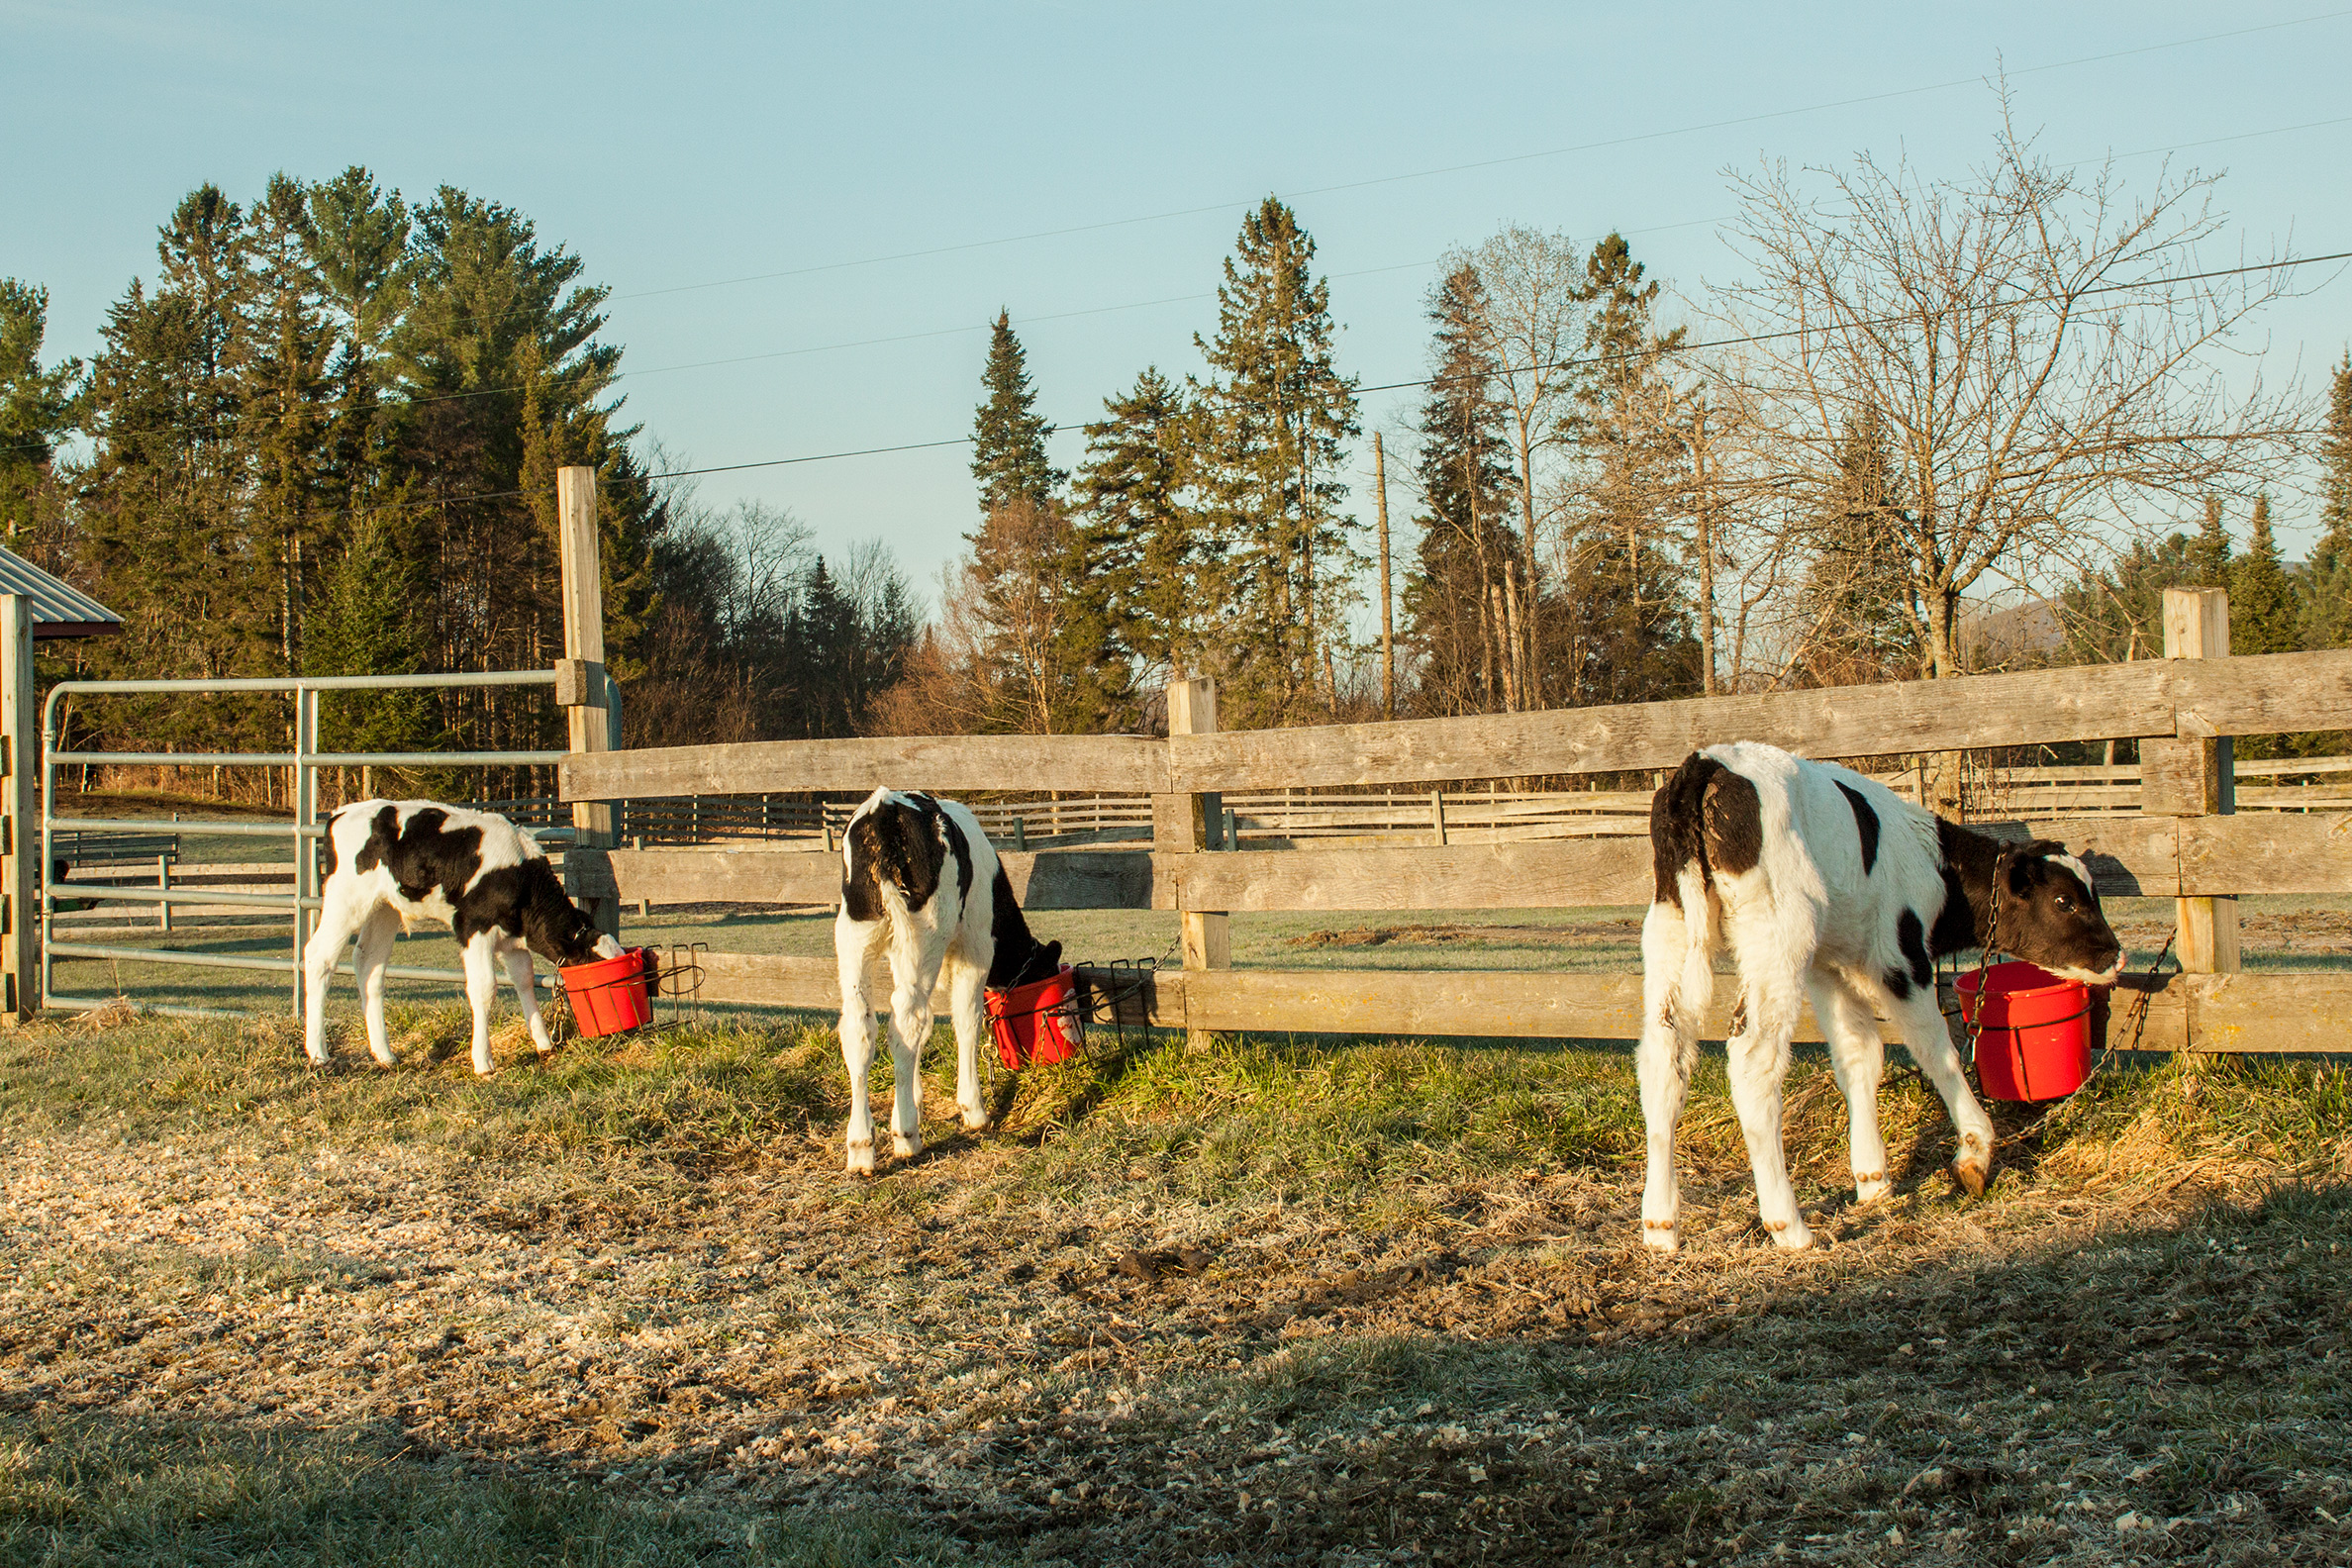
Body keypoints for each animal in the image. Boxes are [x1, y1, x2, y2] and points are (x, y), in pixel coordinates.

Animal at [300, 801, 623, 1076]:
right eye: (595, 963)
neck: (520, 877)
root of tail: (341, 814)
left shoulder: (511, 938)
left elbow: (523, 979)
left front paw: (544, 1044)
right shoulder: (475, 927)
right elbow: (485, 989)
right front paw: (483, 1061)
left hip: (384, 907)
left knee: (368, 963)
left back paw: (385, 1055)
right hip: (345, 900)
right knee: (319, 957)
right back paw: (319, 1054)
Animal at [834, 788, 1062, 1173]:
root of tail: (885, 808)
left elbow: (926, 1029)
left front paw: (911, 1100)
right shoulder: (977, 948)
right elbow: (967, 1020)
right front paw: (974, 1109)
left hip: (855, 933)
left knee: (862, 1025)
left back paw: (861, 1146)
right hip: (924, 934)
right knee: (906, 1021)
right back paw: (907, 1137)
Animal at [1638, 741, 2124, 1251]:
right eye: (2064, 902)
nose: (2115, 954)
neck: (1932, 863)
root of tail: (1708, 761)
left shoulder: (1831, 968)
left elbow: (1860, 1055)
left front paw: (1872, 1179)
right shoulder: (1901, 959)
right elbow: (1937, 1051)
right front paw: (1974, 1151)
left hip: (1671, 924)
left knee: (1663, 1057)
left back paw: (1660, 1225)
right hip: (1777, 933)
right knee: (1753, 1058)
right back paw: (1787, 1224)